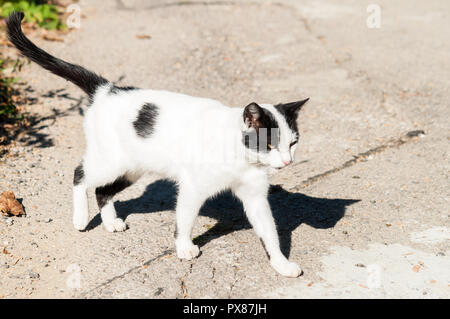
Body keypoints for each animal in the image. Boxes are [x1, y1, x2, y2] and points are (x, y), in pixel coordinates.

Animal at [7, 11, 310, 278]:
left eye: (293, 143)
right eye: (269, 145)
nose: (287, 161)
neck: (242, 158)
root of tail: (107, 89)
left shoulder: (255, 196)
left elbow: (269, 233)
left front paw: (281, 265)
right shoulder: (193, 188)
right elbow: (185, 219)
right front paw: (184, 247)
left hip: (132, 168)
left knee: (103, 191)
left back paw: (110, 222)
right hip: (111, 161)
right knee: (80, 175)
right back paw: (81, 218)